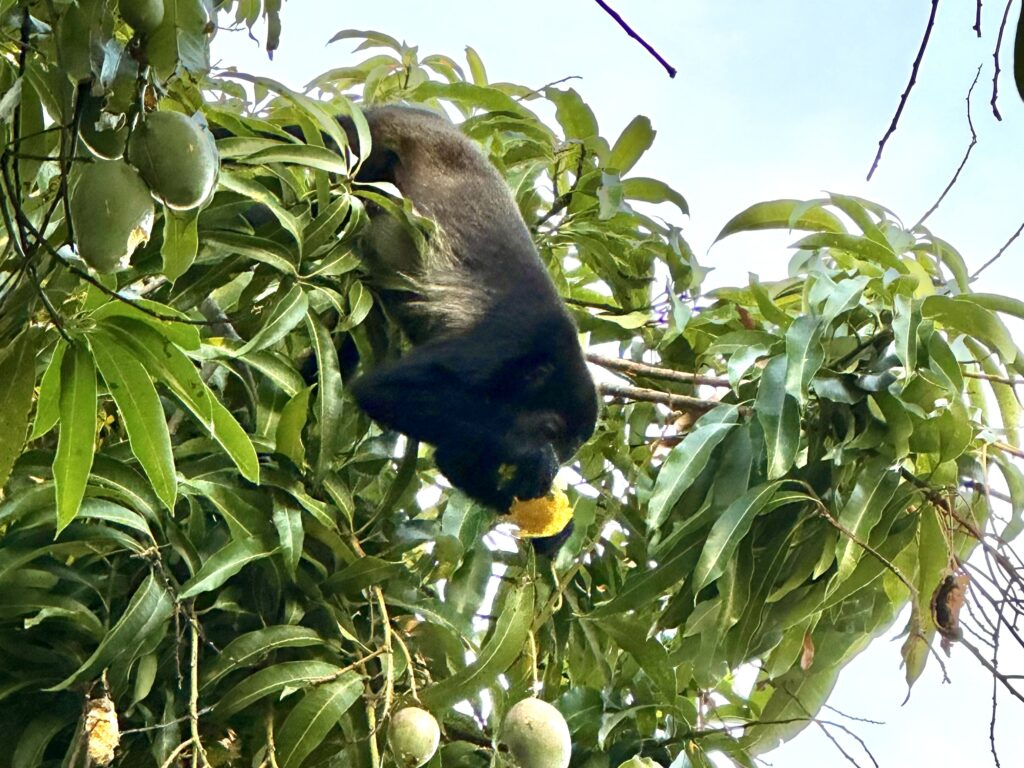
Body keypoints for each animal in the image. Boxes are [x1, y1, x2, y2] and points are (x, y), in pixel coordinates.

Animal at [331, 102, 598, 512]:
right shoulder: (509, 339)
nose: (556, 455)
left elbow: (453, 459)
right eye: (550, 431)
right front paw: (532, 456)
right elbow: (384, 389)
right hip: (362, 144)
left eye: (569, 448)